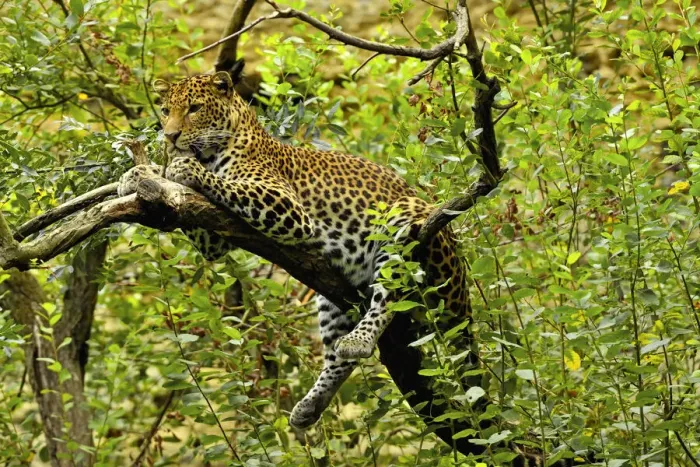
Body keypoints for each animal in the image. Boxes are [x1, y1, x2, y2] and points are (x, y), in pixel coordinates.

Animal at [117, 71, 471, 430]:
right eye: (165, 110)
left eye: (194, 108)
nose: (170, 136)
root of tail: (461, 284)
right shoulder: (213, 237)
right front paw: (140, 173)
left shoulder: (287, 206)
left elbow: (224, 184)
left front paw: (182, 169)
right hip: (332, 300)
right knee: (338, 357)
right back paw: (310, 406)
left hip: (401, 226)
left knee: (388, 298)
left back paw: (359, 340)